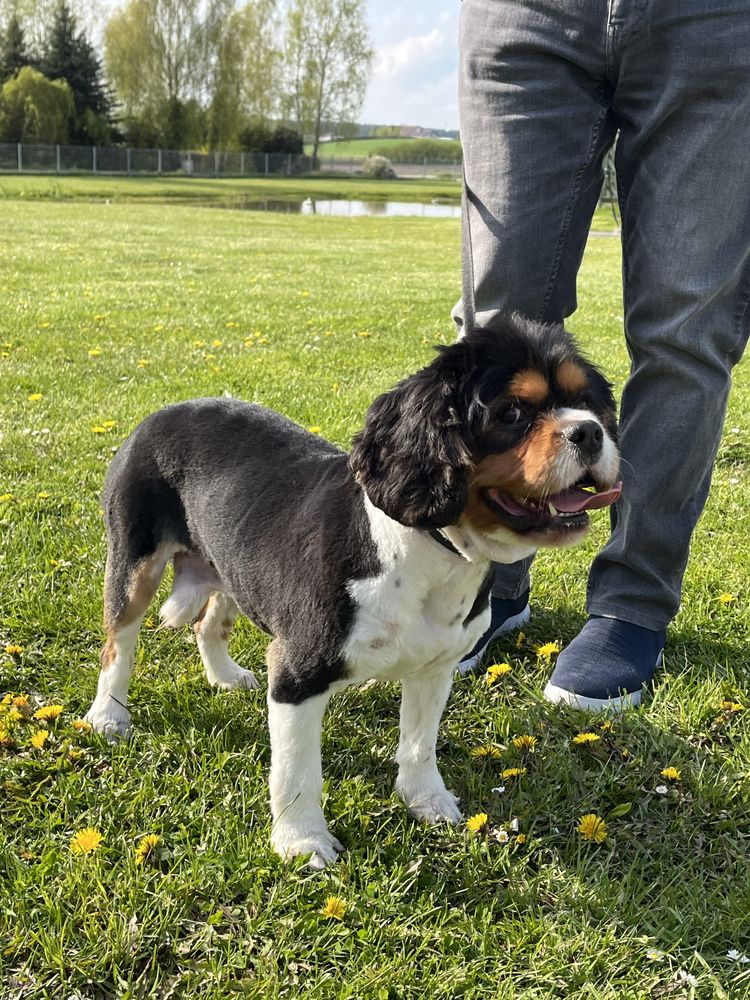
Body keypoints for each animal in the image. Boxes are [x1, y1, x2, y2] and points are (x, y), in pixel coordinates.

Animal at [85, 314, 624, 868]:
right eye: (512, 413)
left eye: (589, 402)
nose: (589, 431)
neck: (428, 552)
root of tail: (163, 412)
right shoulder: (298, 674)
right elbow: (298, 772)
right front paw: (302, 841)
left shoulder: (435, 667)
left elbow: (419, 744)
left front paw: (426, 800)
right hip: (133, 562)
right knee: (118, 645)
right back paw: (108, 715)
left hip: (232, 564)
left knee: (209, 622)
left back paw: (225, 677)